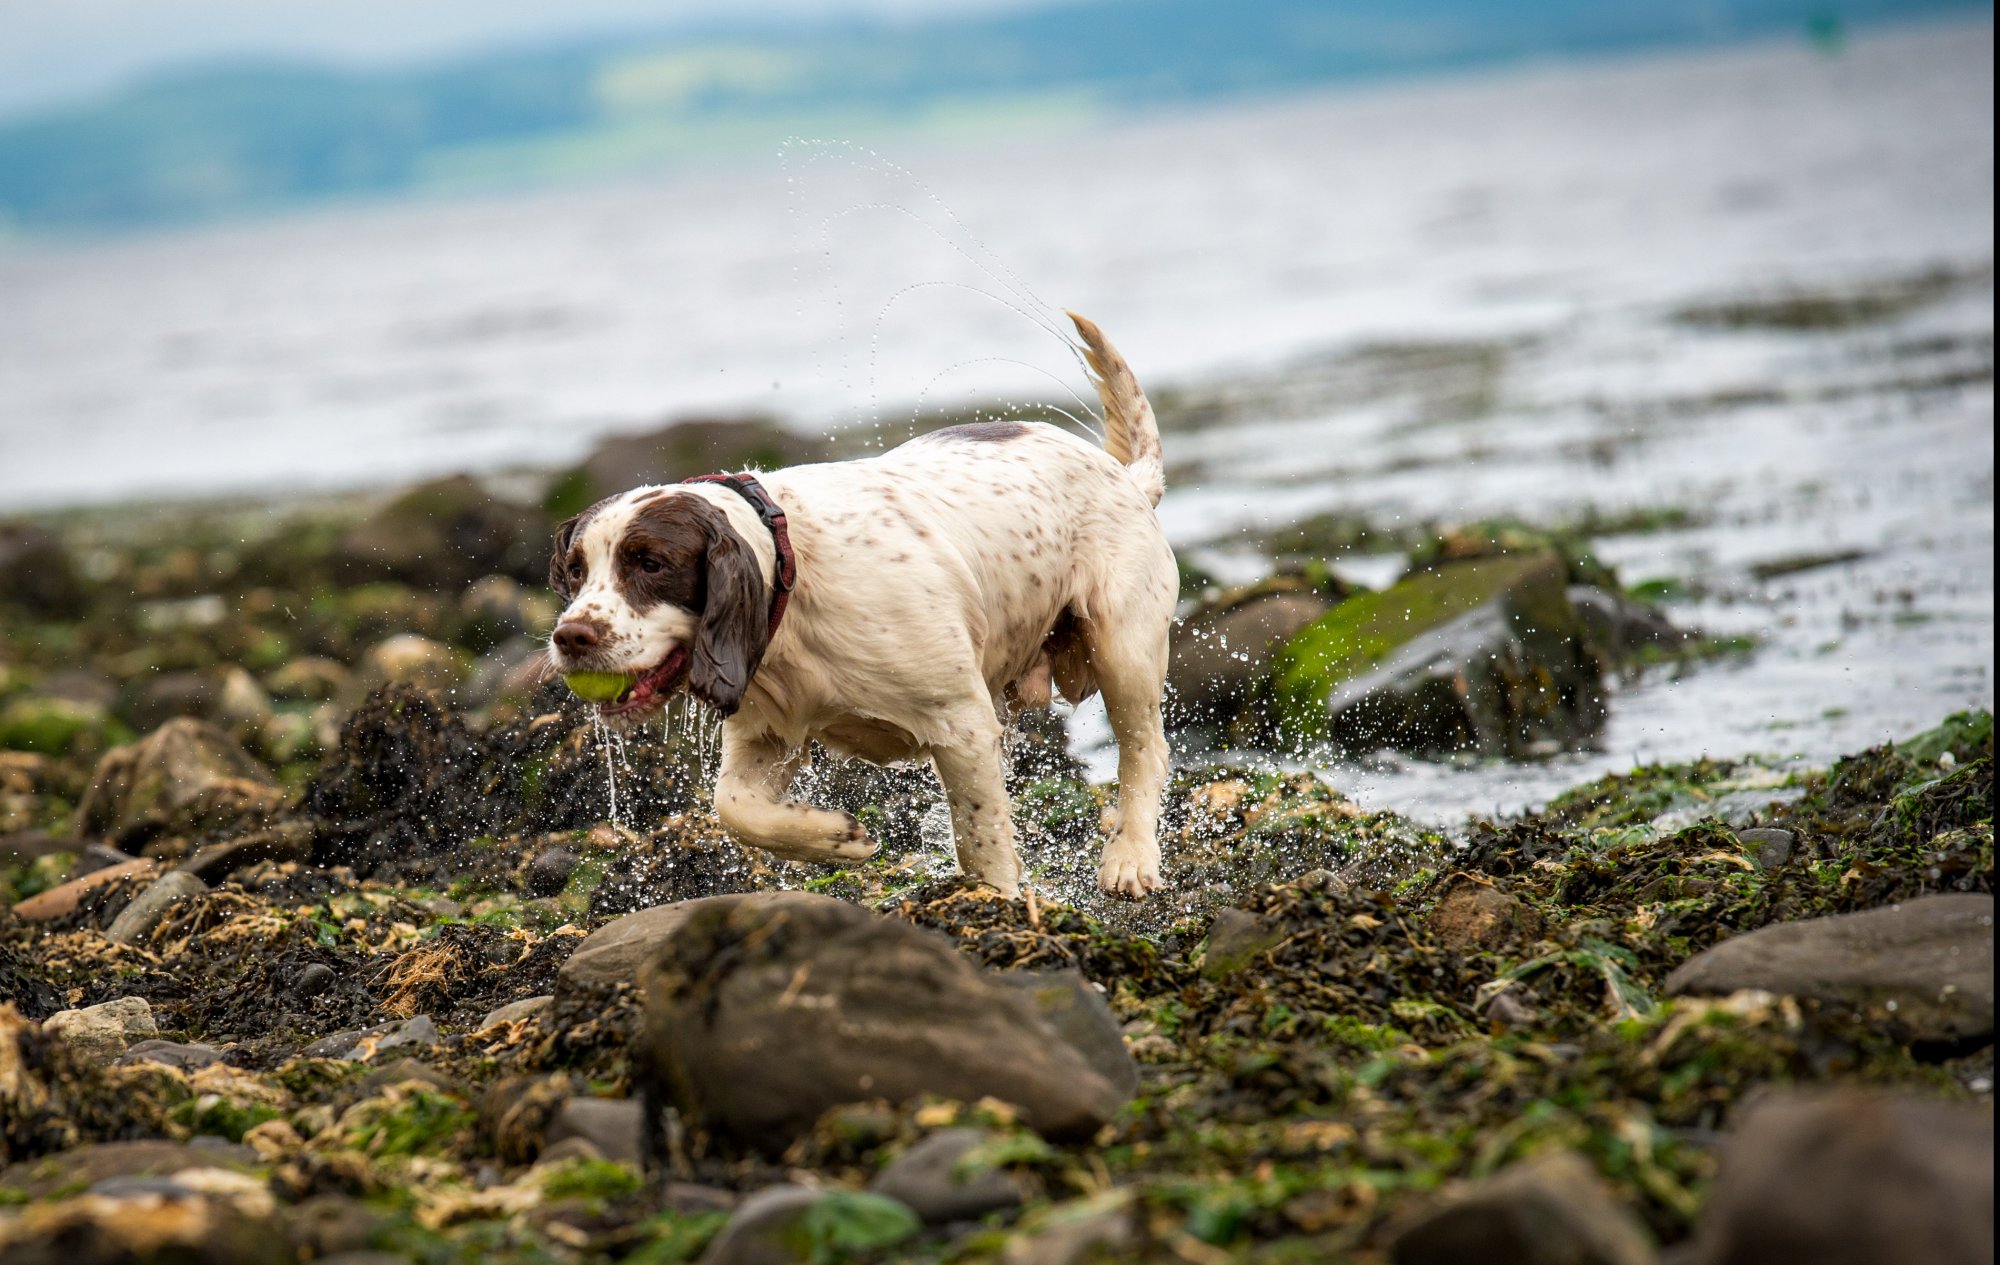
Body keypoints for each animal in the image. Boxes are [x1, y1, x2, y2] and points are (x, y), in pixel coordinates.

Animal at [540, 312, 1176, 892]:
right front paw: (837, 838)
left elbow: (981, 837)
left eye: (650, 564)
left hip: (1121, 646)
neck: (792, 581)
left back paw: (1130, 859)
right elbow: (735, 807)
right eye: (574, 572)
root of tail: (1125, 476)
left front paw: (996, 900)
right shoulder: (765, 731)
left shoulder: (963, 723)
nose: (570, 637)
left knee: (1145, 748)